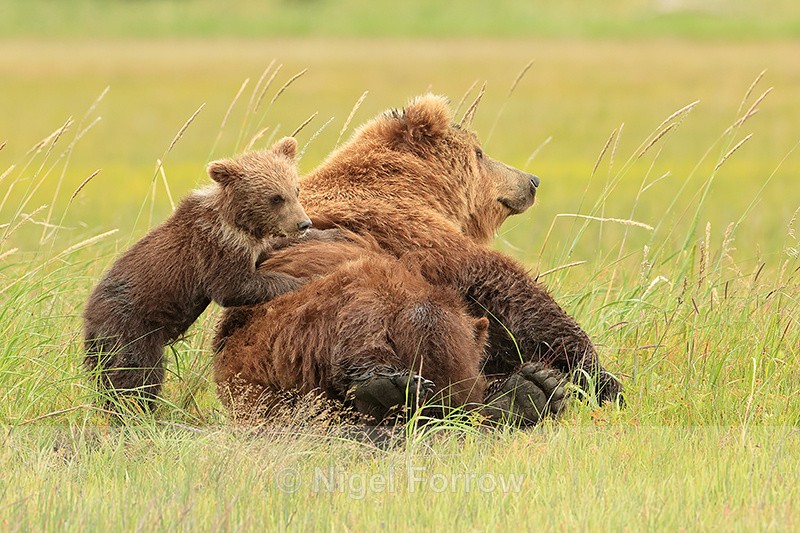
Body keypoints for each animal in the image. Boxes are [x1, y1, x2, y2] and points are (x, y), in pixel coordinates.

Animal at [84, 137, 318, 409]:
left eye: (295, 190)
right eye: (275, 198)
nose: (303, 223)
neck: (238, 222)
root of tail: (88, 317)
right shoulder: (215, 249)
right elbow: (235, 287)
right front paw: (304, 279)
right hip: (131, 328)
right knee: (137, 374)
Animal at [214, 94, 621, 425]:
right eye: (480, 153)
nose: (531, 180)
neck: (420, 186)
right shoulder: (415, 233)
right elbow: (504, 287)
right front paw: (601, 378)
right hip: (308, 315)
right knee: (416, 323)